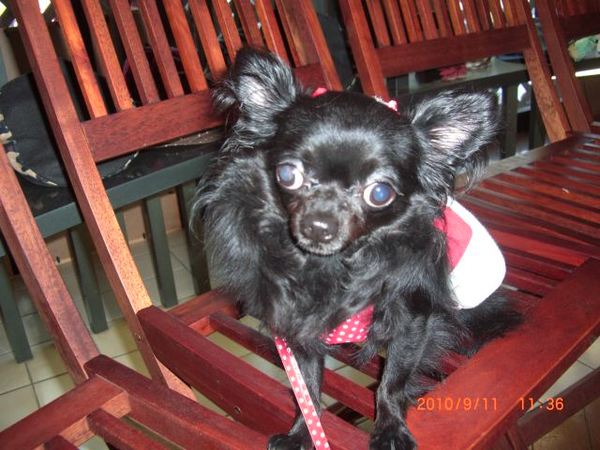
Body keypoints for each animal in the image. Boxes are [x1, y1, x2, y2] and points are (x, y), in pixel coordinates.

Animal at [194, 48, 520, 449]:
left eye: (379, 193)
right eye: (288, 174)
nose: (319, 225)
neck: (333, 267)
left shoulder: (413, 318)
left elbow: (393, 381)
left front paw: (391, 429)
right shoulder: (298, 324)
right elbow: (307, 385)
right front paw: (302, 432)